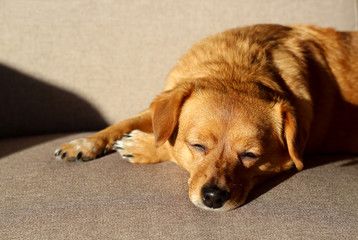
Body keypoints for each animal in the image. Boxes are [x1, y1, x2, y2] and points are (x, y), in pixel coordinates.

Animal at [54, 24, 358, 211]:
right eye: (197, 146)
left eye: (250, 155)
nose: (213, 197)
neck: (236, 68)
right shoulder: (159, 106)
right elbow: (125, 123)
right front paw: (83, 144)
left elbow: (165, 144)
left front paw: (142, 145)